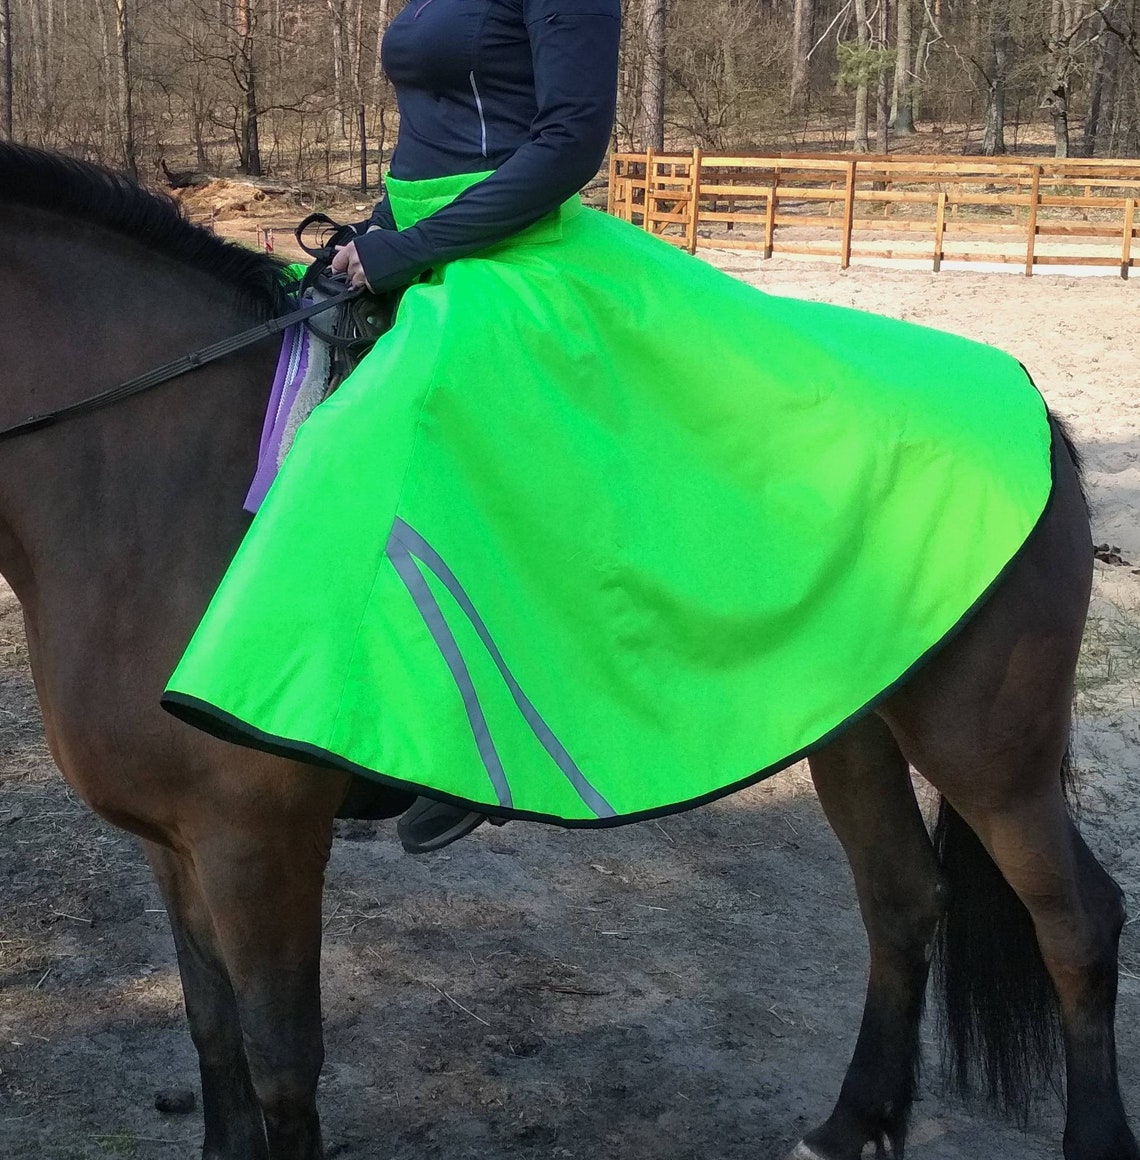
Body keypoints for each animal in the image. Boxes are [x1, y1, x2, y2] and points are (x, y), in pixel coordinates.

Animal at [0, 142, 1134, 1160]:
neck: (157, 470)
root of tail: (1035, 412)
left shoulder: (258, 844)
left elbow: (282, 1062)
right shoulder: (173, 844)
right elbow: (212, 1035)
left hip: (988, 750)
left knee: (1078, 921)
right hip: (851, 725)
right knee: (903, 902)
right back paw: (852, 1122)